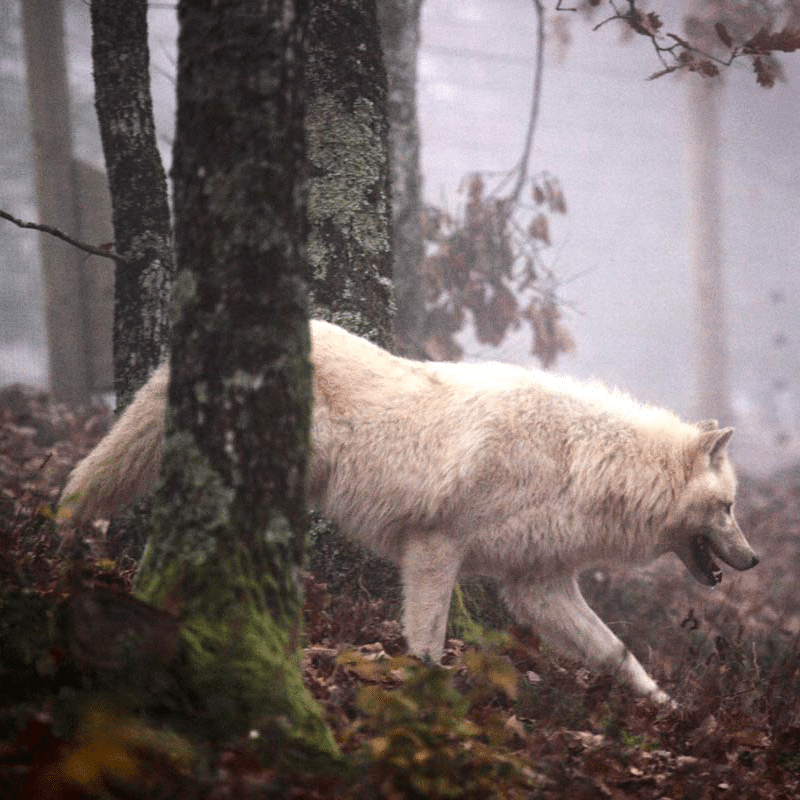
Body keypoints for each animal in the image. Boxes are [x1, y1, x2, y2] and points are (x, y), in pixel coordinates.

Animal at [61, 318, 756, 700]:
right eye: (726, 508)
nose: (754, 560)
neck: (578, 463)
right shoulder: (435, 545)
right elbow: (426, 639)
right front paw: (424, 691)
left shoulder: (537, 584)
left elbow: (617, 653)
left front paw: (665, 708)